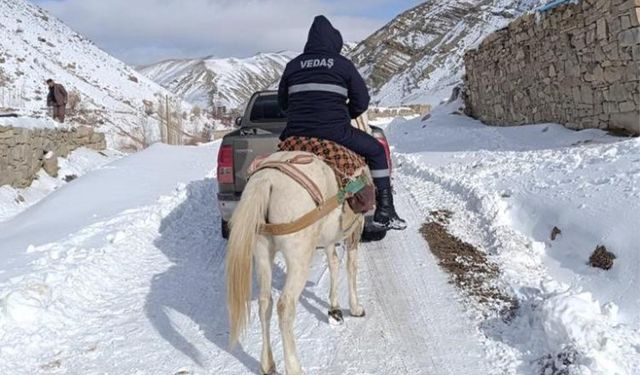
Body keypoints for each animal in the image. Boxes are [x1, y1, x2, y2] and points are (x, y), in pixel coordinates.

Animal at [226, 151, 364, 375]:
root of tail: (268, 180)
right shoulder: (356, 227)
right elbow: (350, 266)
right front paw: (355, 307)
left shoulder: (328, 238)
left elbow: (334, 263)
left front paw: (334, 308)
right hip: (299, 258)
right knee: (285, 306)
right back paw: (294, 367)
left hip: (262, 252)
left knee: (265, 303)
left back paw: (267, 364)